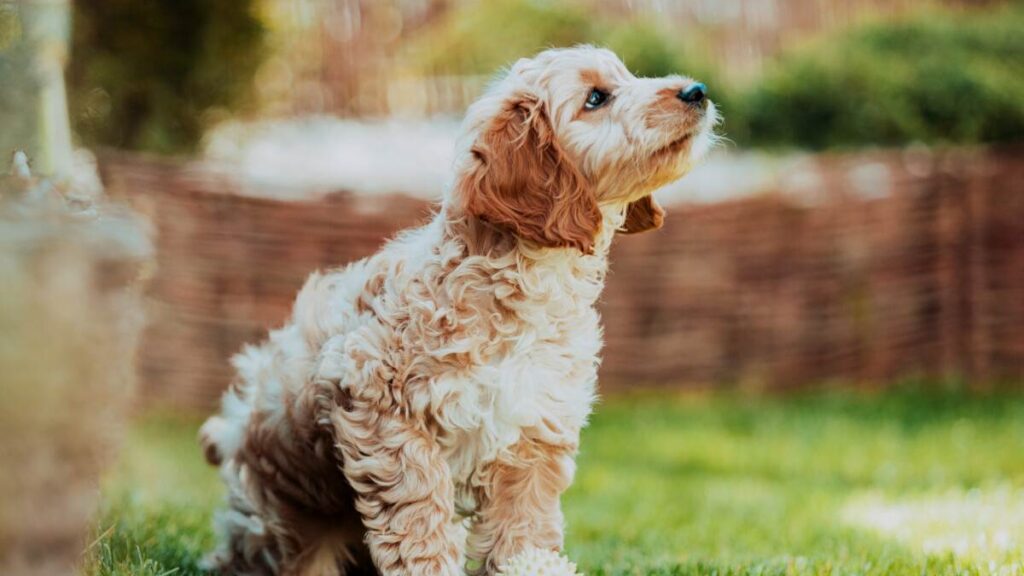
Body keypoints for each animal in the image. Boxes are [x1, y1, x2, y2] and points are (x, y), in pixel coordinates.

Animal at [199, 45, 720, 573]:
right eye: (596, 98)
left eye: (628, 75)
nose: (697, 91)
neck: (528, 281)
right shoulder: (382, 405)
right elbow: (418, 507)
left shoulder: (534, 427)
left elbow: (524, 518)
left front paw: (530, 563)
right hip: (287, 518)